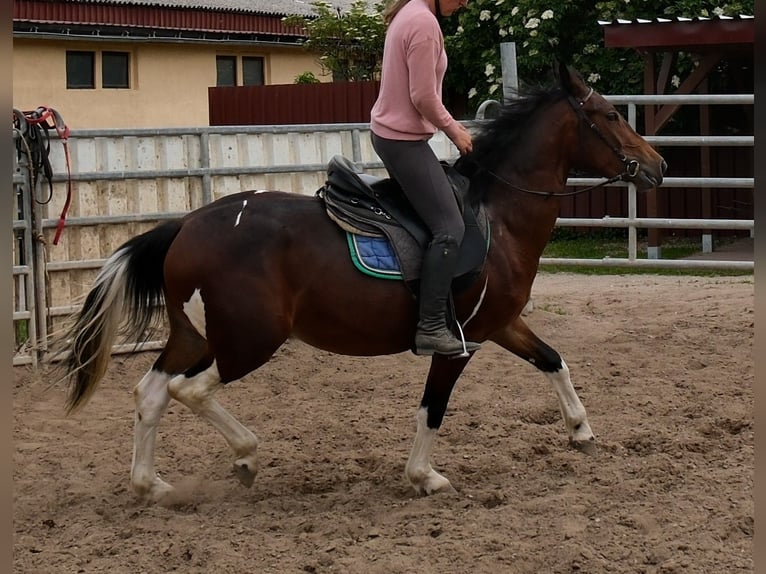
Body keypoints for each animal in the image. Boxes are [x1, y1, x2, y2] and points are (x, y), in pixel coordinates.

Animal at [51, 64, 666, 503]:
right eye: (611, 115)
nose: (658, 165)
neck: (498, 214)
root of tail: (188, 225)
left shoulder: (500, 323)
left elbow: (553, 360)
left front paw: (581, 430)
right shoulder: (460, 341)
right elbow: (433, 408)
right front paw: (424, 476)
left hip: (194, 336)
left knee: (150, 393)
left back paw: (151, 484)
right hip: (248, 342)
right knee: (190, 392)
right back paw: (246, 456)